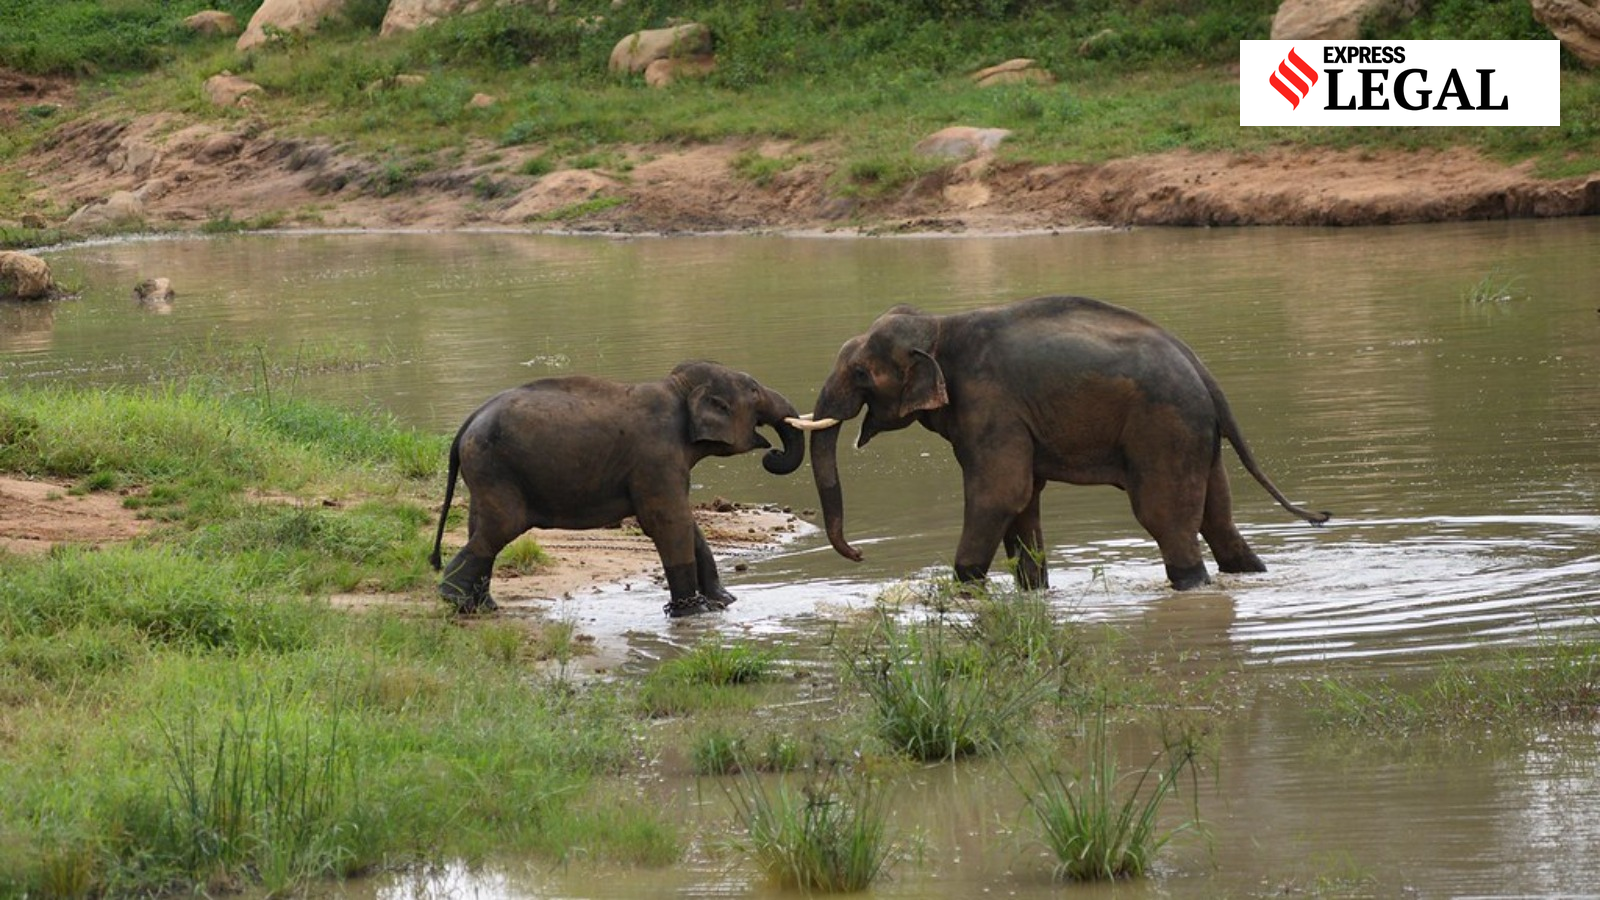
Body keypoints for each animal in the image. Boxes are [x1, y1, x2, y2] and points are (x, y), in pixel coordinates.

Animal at [429, 361, 806, 617]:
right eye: (754, 391)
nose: (773, 454)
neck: (678, 388)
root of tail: (466, 425)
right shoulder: (657, 457)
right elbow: (667, 523)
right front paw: (693, 612)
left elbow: (686, 523)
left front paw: (723, 602)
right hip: (495, 467)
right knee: (500, 527)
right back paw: (456, 600)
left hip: (486, 471)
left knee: (481, 527)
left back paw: (483, 605)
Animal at [787, 295, 1330, 591]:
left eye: (861, 372)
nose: (859, 555)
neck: (941, 325)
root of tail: (1202, 369)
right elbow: (1023, 499)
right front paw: (1033, 591)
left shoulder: (990, 404)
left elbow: (1000, 493)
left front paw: (964, 587)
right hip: (1195, 431)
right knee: (1218, 520)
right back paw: (1250, 573)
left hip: (1164, 426)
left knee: (1166, 518)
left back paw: (1192, 584)